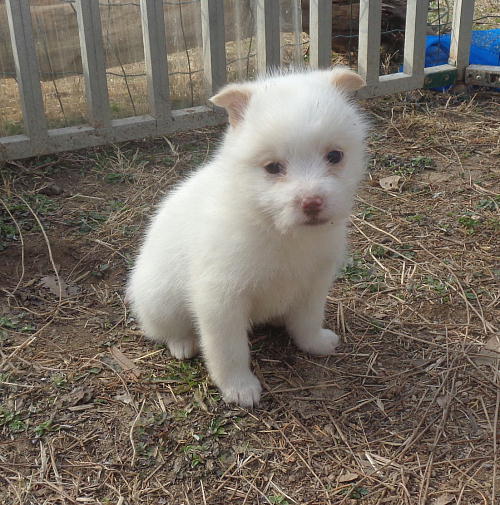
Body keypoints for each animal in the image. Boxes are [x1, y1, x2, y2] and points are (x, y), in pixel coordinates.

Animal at [127, 67, 368, 407]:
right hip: (160, 300)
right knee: (164, 328)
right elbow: (229, 350)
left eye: (335, 156)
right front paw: (239, 387)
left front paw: (315, 342)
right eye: (273, 167)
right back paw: (182, 343)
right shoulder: (220, 301)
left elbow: (307, 319)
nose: (312, 203)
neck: (276, 228)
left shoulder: (313, 284)